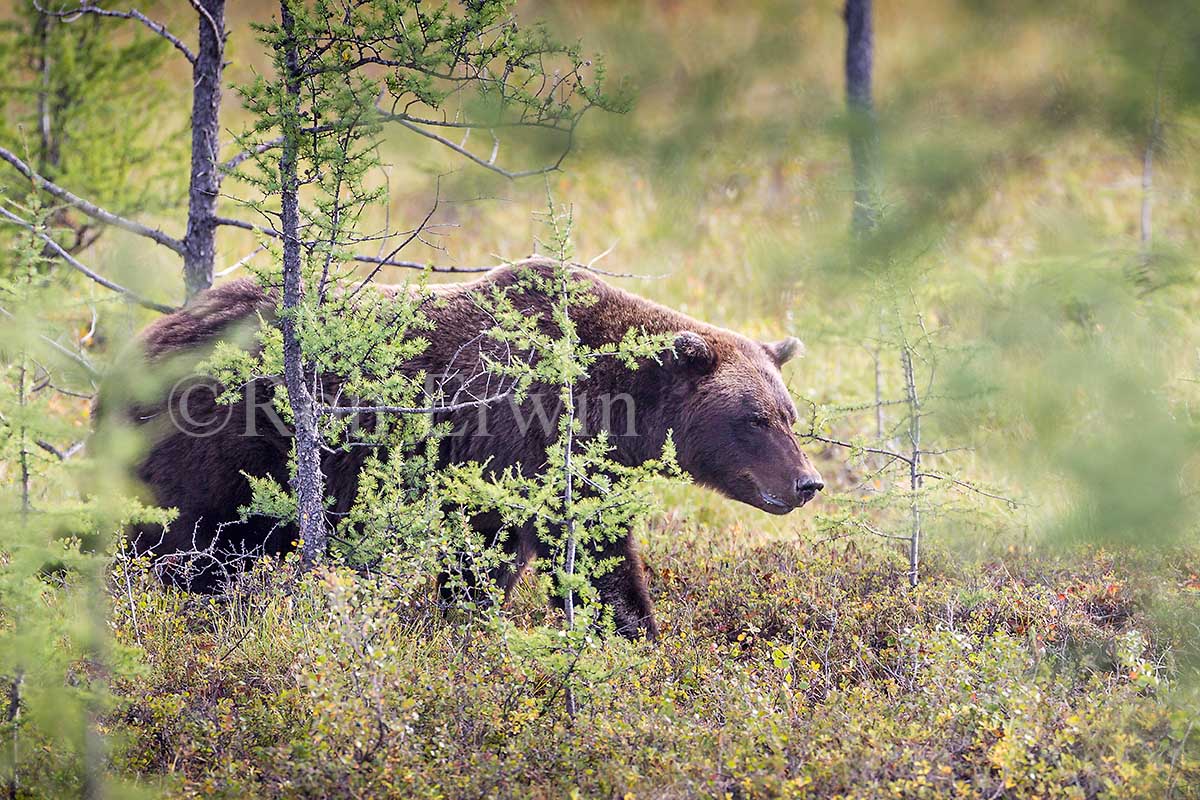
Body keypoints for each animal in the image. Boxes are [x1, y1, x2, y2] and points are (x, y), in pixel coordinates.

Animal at [105, 262, 825, 638]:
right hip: (219, 443)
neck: (604, 408)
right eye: (755, 419)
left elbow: (603, 561)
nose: (807, 483)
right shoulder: (506, 434)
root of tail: (139, 346)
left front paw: (637, 635)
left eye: (791, 416)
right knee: (180, 542)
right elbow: (486, 547)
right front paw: (468, 630)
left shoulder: (581, 474)